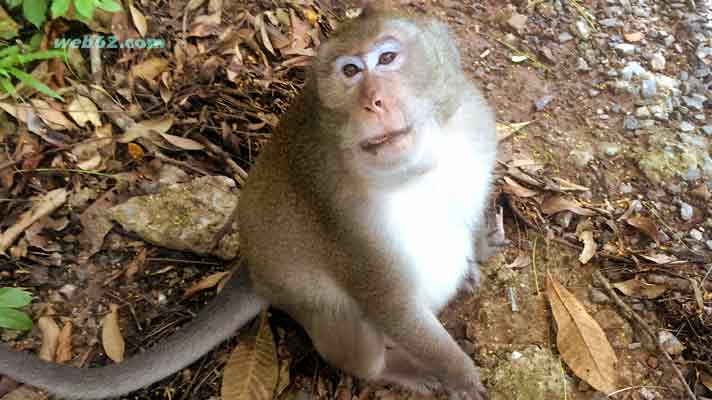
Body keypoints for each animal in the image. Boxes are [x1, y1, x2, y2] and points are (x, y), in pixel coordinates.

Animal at [0, 3, 498, 399]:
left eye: (388, 58)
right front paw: (461, 374)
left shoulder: (476, 129)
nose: (373, 102)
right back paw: (391, 371)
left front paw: (476, 258)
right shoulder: (343, 216)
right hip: (304, 299)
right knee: (346, 318)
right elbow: (389, 304)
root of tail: (253, 268)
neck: (420, 164)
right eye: (351, 71)